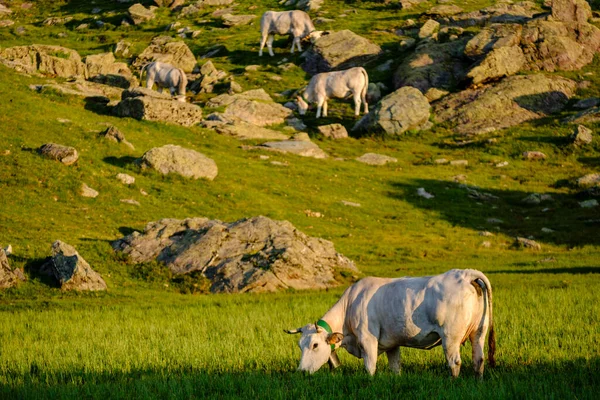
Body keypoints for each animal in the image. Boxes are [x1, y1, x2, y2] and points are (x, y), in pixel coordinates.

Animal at [286, 268, 496, 378]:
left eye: (315, 345)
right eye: (300, 345)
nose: (301, 371)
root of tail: (466, 274)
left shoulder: (368, 340)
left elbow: (370, 368)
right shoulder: (392, 343)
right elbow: (395, 367)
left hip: (450, 338)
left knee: (454, 363)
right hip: (479, 332)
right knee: (478, 360)